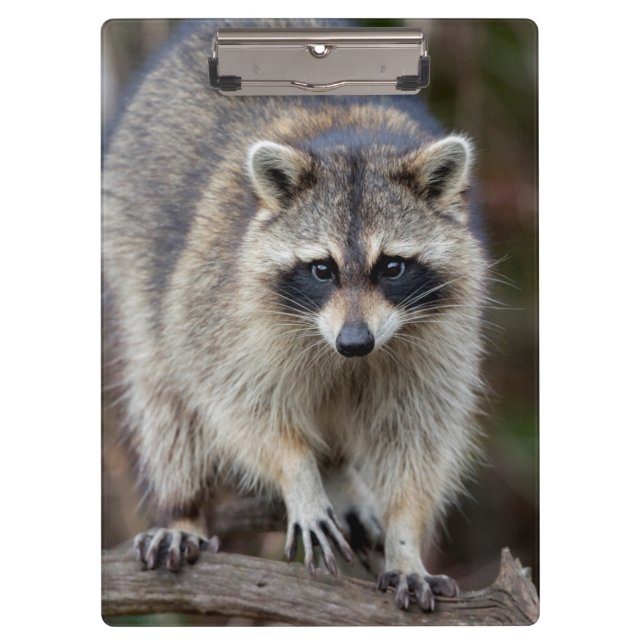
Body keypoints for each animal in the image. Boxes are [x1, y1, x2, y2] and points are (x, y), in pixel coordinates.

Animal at [103, 19, 488, 613]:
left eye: (392, 267)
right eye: (322, 269)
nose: (354, 343)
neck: (352, 141)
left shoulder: (441, 337)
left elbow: (418, 438)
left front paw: (406, 541)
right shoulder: (222, 308)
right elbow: (242, 407)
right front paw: (298, 474)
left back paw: (341, 476)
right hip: (134, 246)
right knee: (166, 397)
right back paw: (185, 508)